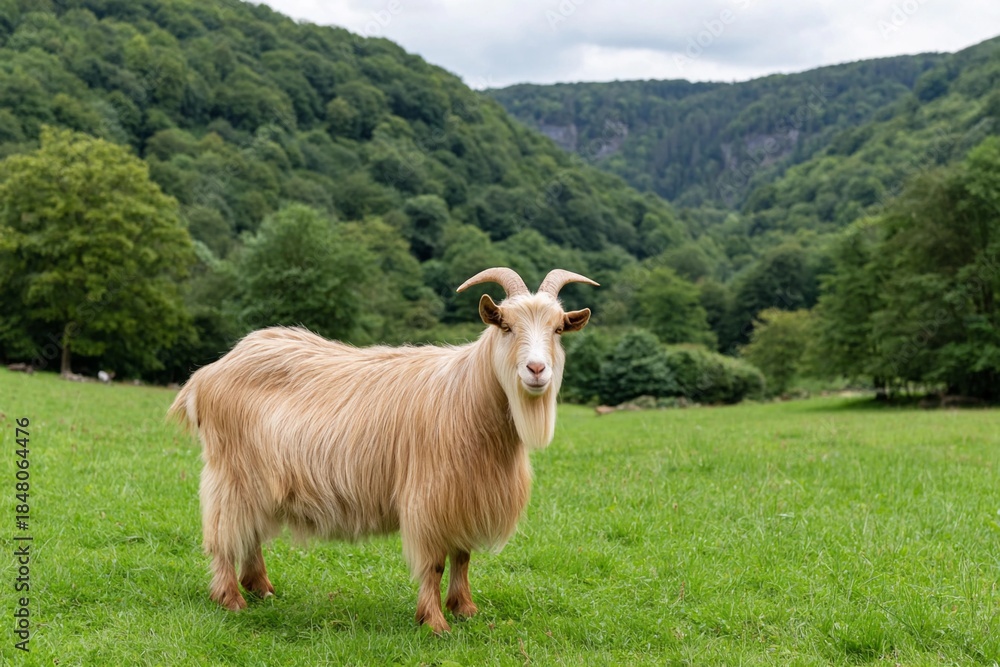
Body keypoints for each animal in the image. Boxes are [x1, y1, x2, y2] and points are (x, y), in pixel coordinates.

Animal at [168, 267, 597, 632]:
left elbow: (462, 557)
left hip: (257, 477)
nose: (536, 370)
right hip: (230, 471)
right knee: (224, 533)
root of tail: (209, 373)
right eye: (506, 326)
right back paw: (231, 598)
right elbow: (434, 564)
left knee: (249, 530)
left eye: (558, 328)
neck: (465, 394)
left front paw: (465, 609)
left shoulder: (462, 496)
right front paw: (434, 622)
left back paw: (261, 587)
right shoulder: (428, 499)